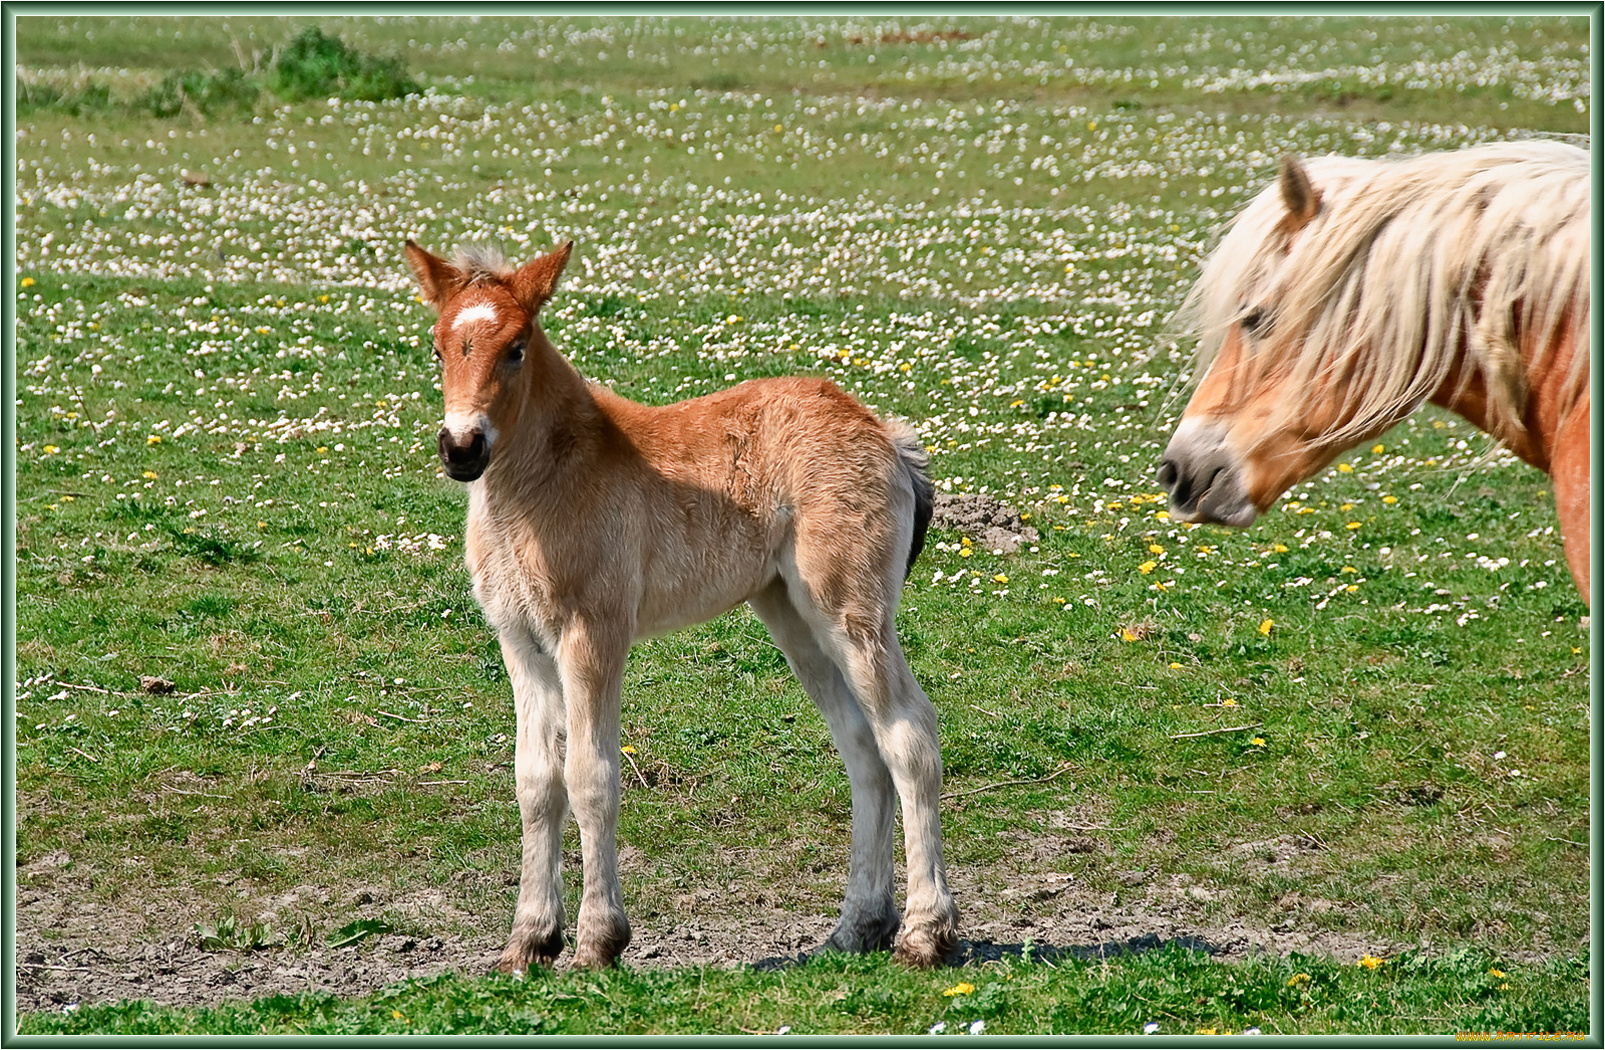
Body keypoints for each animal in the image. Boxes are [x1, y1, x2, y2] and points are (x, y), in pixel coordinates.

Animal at [401, 239, 956, 969]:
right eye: (437, 347)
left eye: (517, 347)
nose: (462, 448)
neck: (542, 484)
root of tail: (884, 432)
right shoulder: (520, 640)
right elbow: (535, 783)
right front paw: (529, 940)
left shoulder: (594, 633)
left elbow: (590, 776)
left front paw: (597, 941)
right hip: (791, 614)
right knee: (864, 750)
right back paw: (855, 928)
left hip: (849, 607)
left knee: (909, 736)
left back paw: (923, 934)